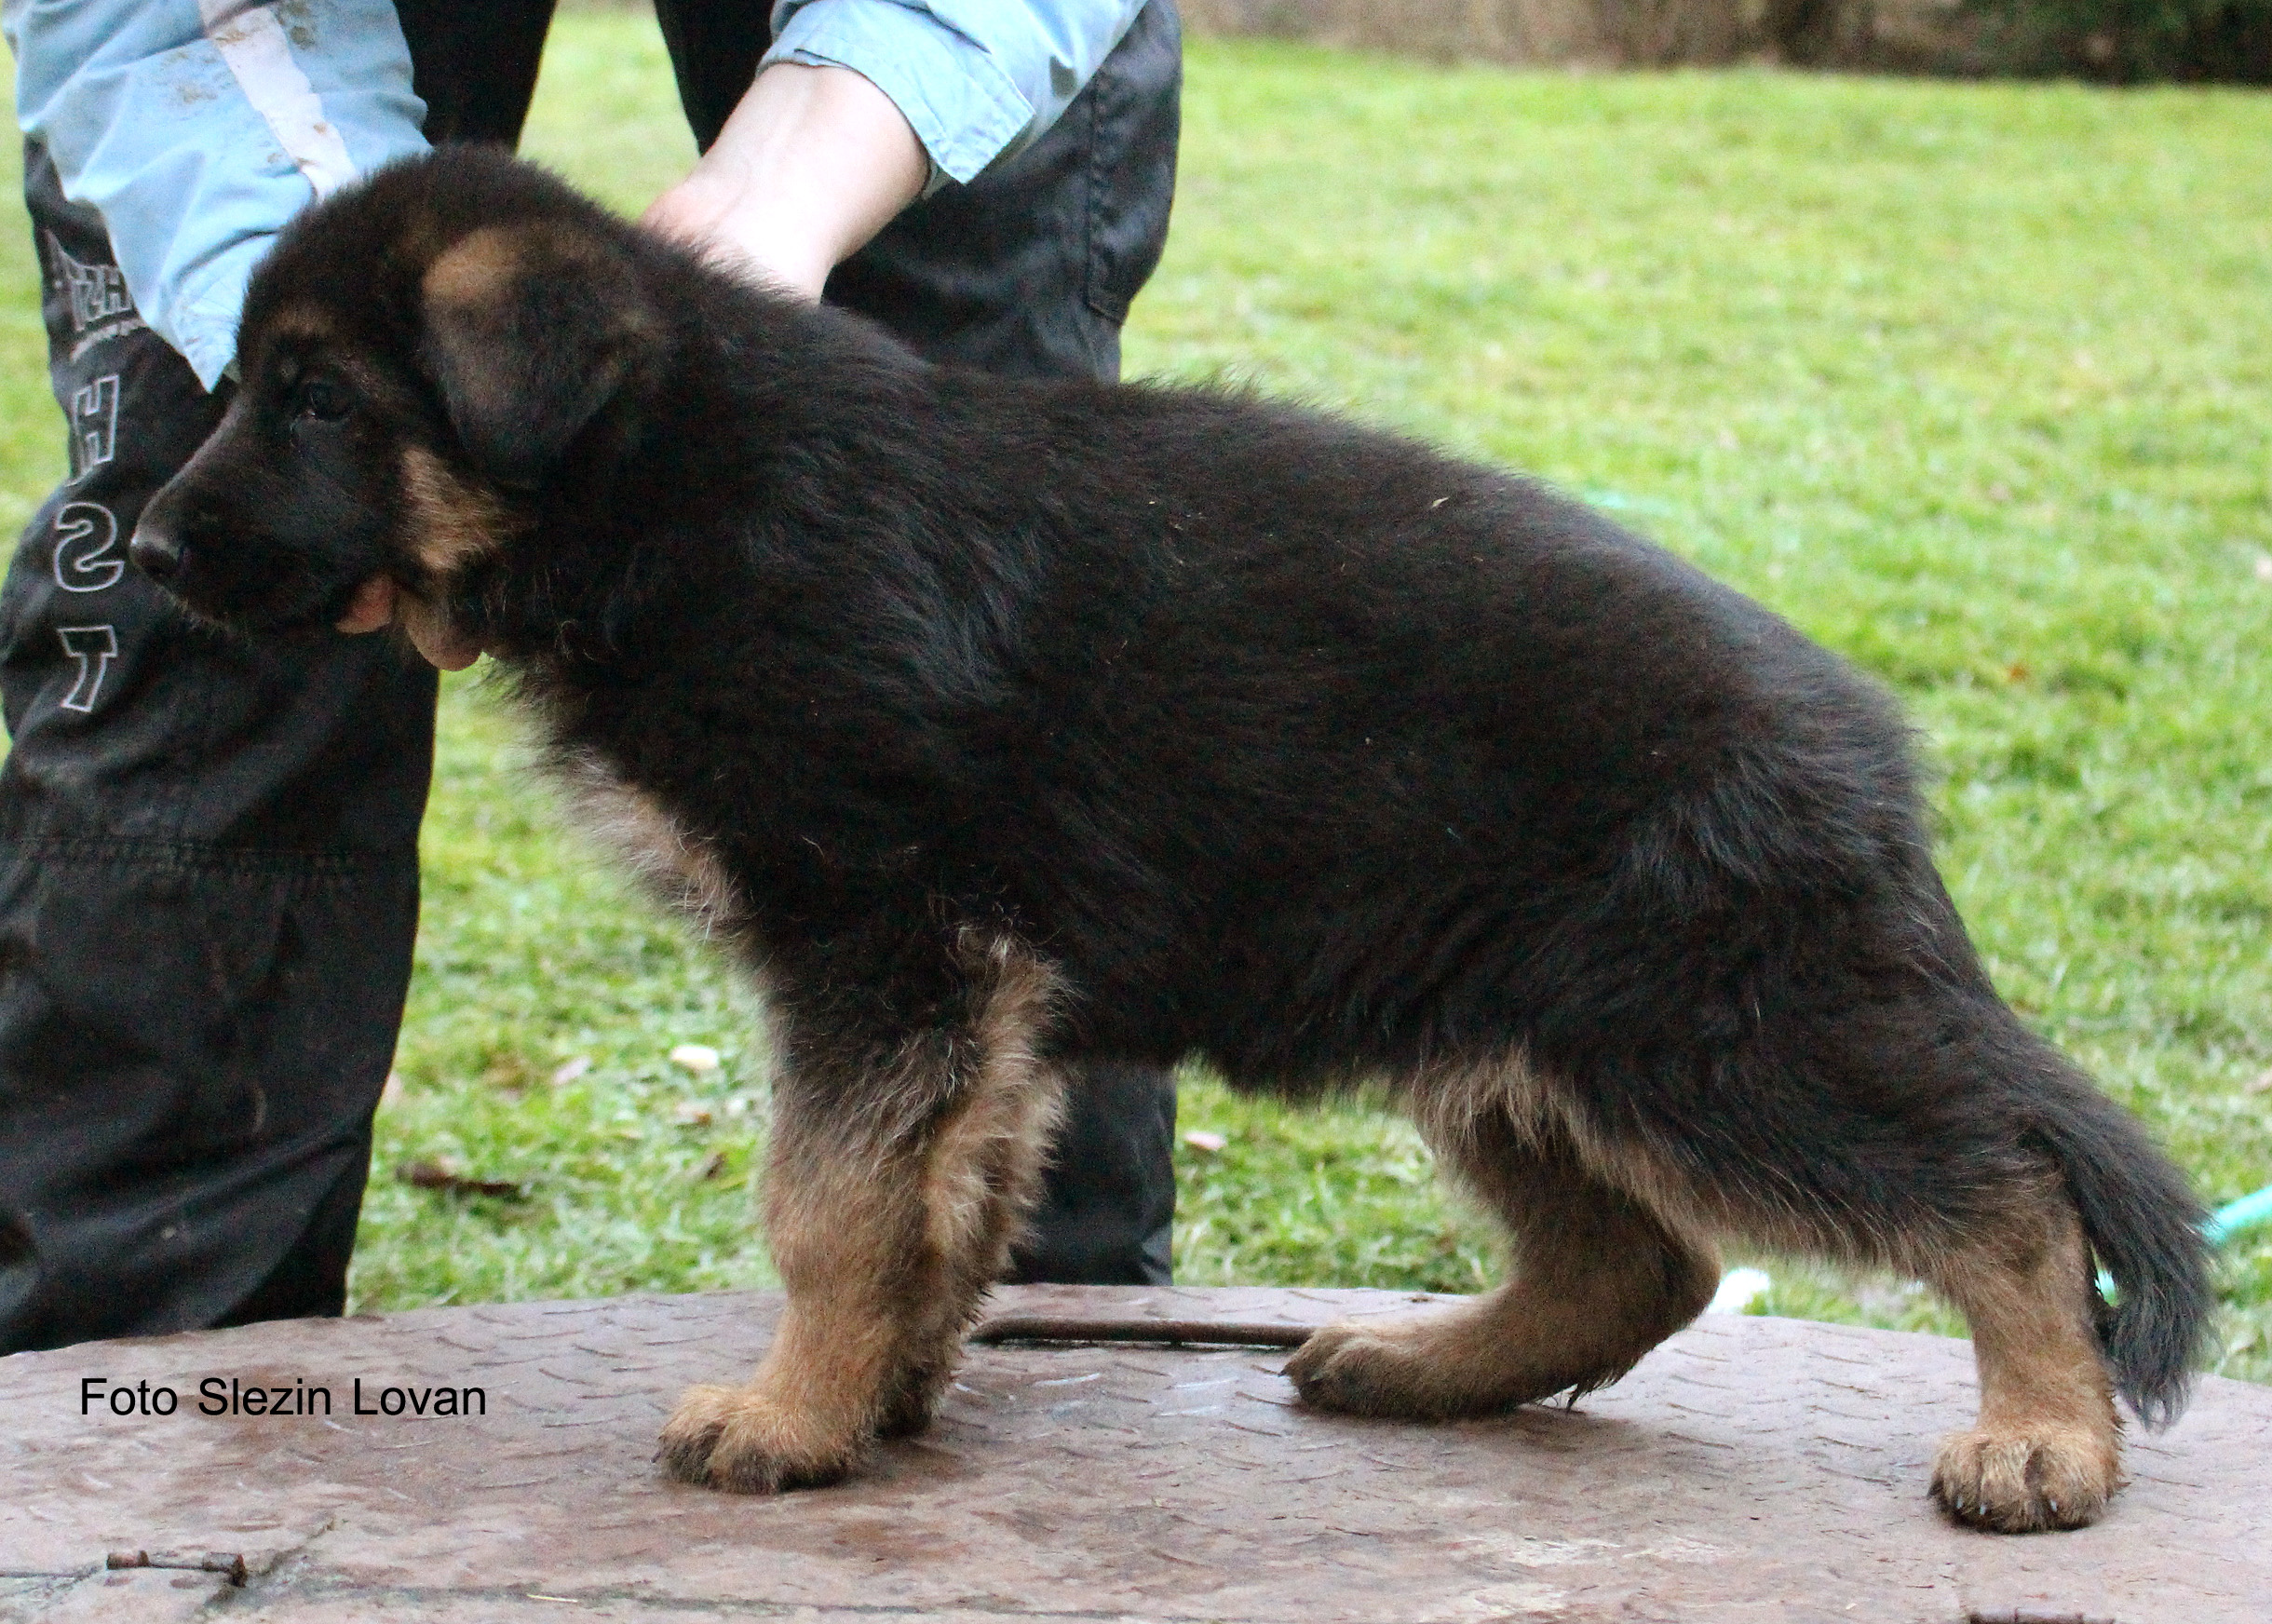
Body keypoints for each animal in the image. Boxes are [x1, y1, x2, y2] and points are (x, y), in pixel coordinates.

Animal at [130, 149, 2213, 1533]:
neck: (672, 481)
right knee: (1637, 1264)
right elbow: (944, 1194)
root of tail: (1869, 760)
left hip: (1703, 1029)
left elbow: (827, 1200)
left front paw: (788, 1414)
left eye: (312, 397)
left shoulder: (883, 938)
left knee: (1997, 1184)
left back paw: (2044, 1436)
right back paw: (1422, 1362)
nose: (136, 549)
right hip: (1502, 1021)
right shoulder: (969, 984)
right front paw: (882, 1386)